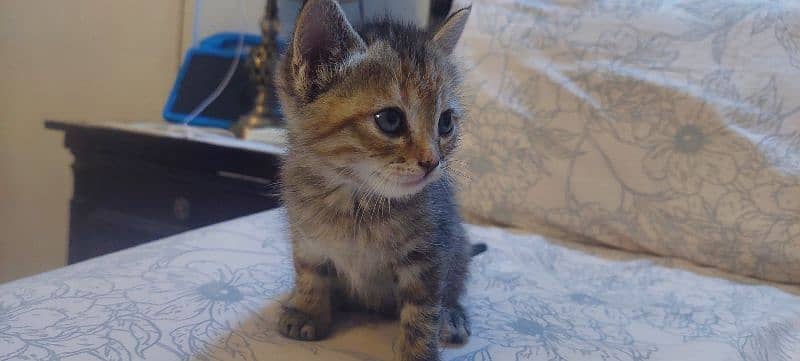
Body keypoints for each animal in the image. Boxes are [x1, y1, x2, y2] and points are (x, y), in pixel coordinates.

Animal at [276, 1, 476, 358]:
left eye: (445, 123)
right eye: (390, 120)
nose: (432, 162)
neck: (357, 201)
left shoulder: (431, 253)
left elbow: (422, 308)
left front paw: (417, 351)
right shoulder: (307, 237)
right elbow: (310, 273)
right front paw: (308, 310)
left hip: (458, 243)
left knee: (453, 286)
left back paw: (452, 315)